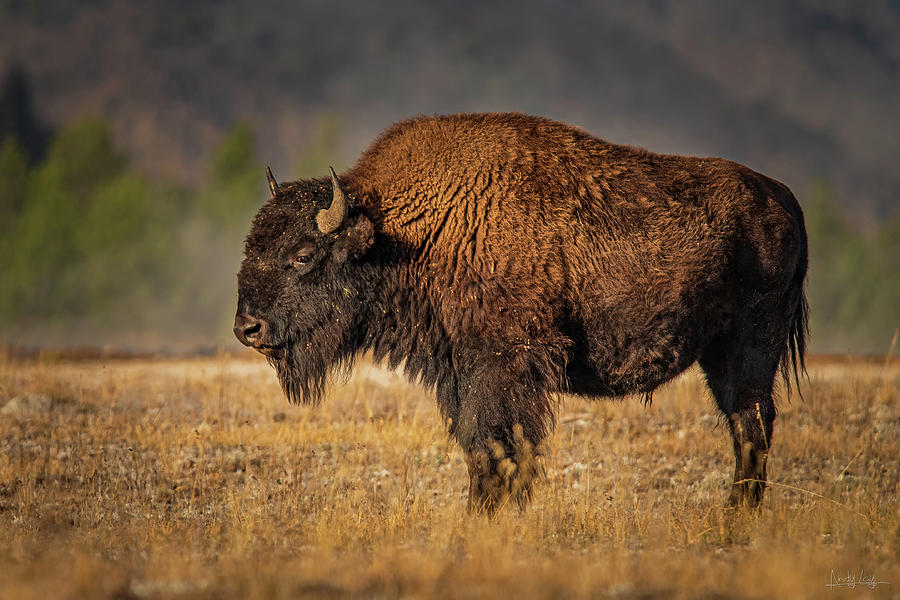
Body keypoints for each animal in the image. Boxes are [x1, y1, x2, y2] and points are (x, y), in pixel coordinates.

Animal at [234, 111, 808, 510]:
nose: (247, 328)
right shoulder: (458, 370)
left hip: (752, 344)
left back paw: (735, 515)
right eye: (252, 246)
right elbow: (479, 445)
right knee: (745, 423)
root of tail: (783, 199)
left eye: (302, 256)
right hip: (719, 353)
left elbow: (498, 446)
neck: (409, 230)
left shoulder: (504, 365)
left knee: (752, 421)